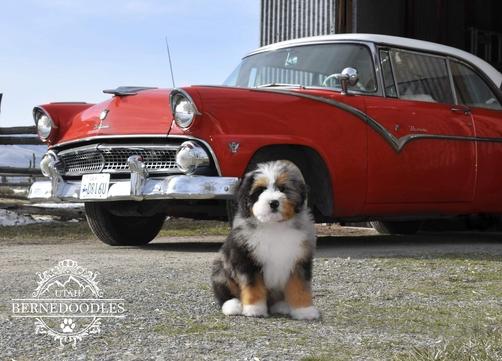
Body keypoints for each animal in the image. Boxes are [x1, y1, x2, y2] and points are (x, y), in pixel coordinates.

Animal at [211, 159, 320, 320]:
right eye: (260, 190)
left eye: (283, 189)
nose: (274, 202)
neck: (273, 226)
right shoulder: (247, 259)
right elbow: (253, 286)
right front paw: (254, 309)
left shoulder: (299, 260)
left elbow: (300, 287)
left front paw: (305, 311)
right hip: (221, 268)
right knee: (224, 293)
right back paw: (234, 306)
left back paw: (282, 306)